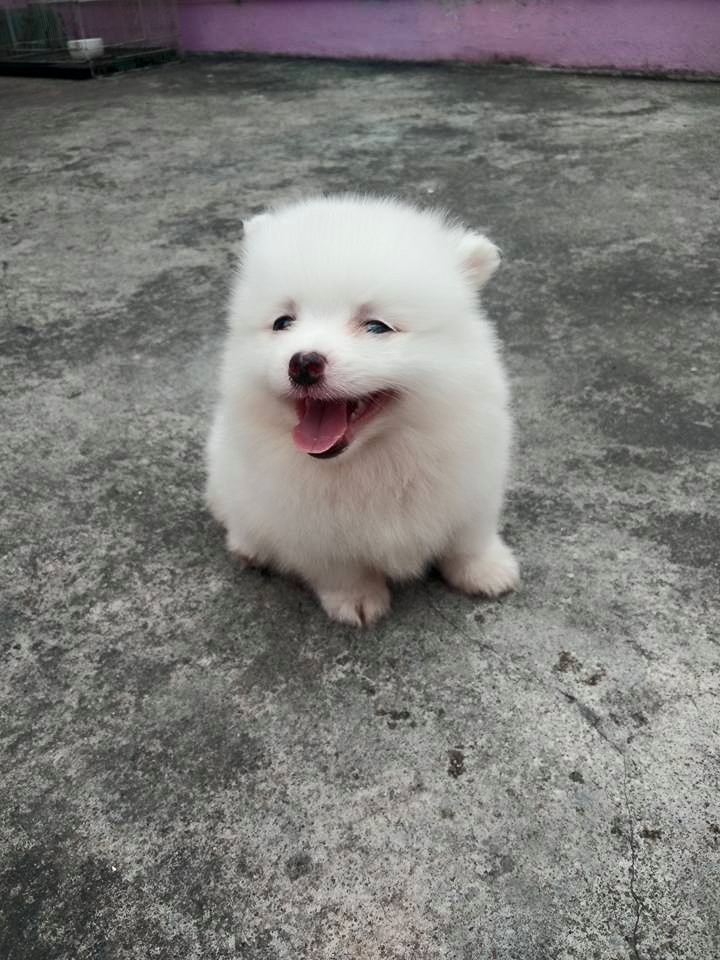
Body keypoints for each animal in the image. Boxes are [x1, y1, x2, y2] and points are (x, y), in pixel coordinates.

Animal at [205, 195, 519, 625]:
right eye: (283, 322)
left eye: (376, 327)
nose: (303, 363)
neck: (376, 455)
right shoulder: (308, 526)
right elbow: (341, 569)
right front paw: (356, 600)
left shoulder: (474, 485)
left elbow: (468, 541)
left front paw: (487, 571)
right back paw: (249, 547)